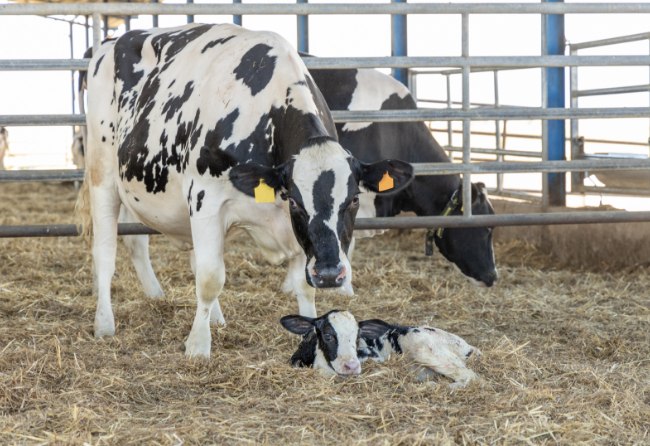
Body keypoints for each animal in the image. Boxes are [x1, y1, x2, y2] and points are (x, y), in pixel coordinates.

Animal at [79, 23, 413, 358]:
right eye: (296, 202)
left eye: (354, 199)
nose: (331, 274)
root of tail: (111, 42)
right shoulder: (206, 199)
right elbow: (210, 278)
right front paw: (198, 346)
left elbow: (303, 285)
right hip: (102, 173)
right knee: (106, 253)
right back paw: (104, 324)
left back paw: (207, 315)